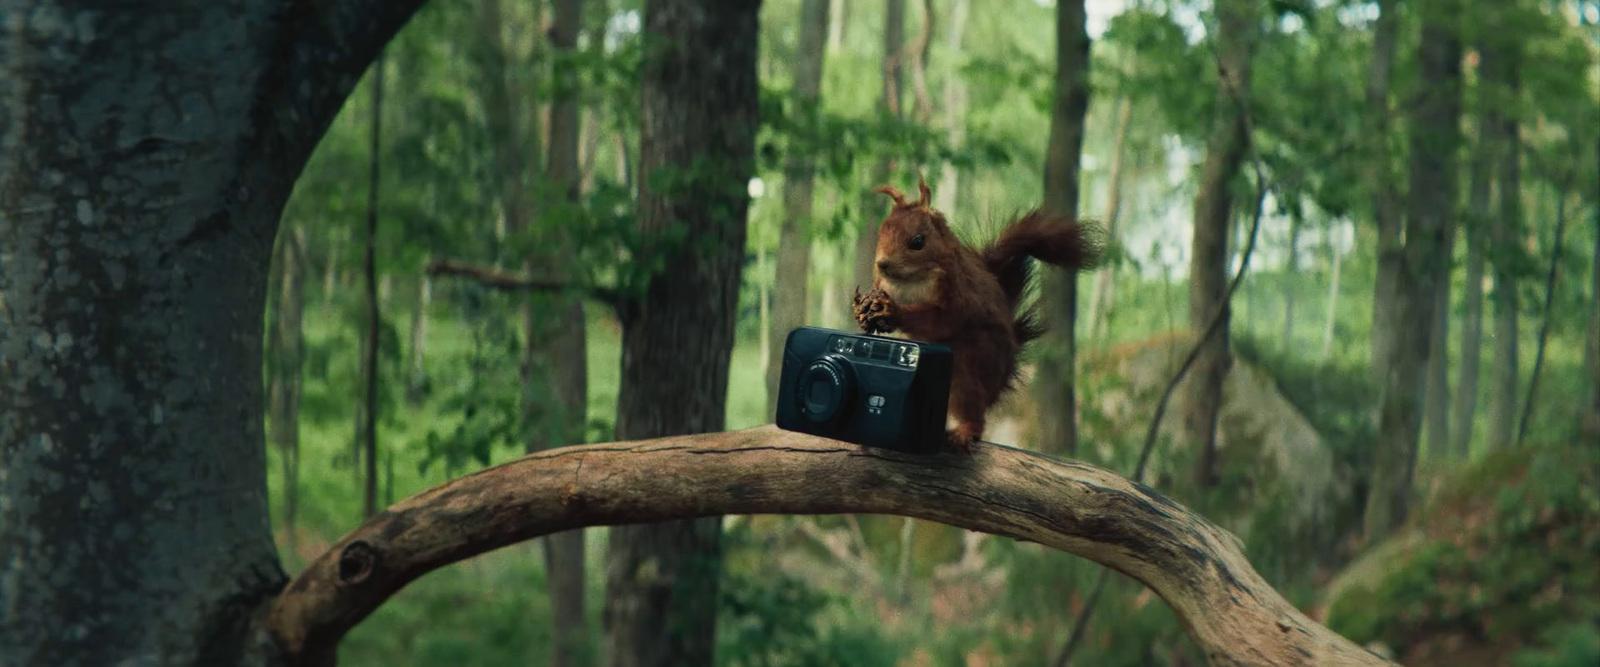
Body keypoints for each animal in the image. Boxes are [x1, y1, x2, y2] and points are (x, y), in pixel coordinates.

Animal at [852, 177, 1097, 451]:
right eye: (881, 233)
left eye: (917, 241)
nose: (882, 264)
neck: (910, 280)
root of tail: (1000, 380)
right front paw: (864, 308)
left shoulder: (959, 294)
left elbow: (941, 321)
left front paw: (893, 311)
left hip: (967, 368)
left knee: (973, 408)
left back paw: (964, 431)